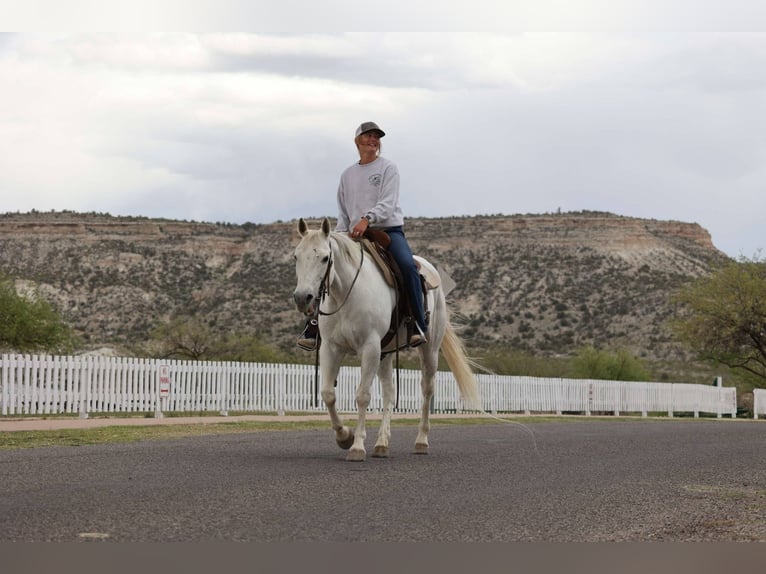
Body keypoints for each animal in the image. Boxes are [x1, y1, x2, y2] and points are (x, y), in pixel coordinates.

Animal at [293, 217, 481, 461]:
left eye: (325, 258)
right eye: (296, 256)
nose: (301, 298)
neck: (346, 294)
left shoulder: (369, 347)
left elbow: (363, 396)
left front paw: (357, 446)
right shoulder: (331, 348)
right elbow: (328, 393)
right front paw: (344, 437)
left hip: (429, 349)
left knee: (427, 389)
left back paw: (421, 441)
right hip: (386, 353)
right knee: (390, 393)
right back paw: (381, 444)